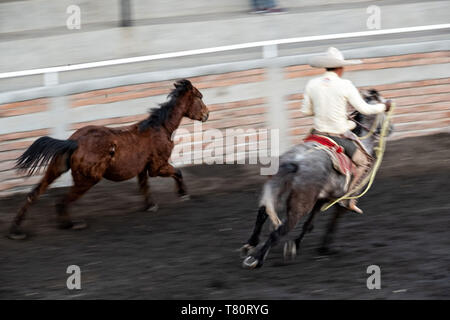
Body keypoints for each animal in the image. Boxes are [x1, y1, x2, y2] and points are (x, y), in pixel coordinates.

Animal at [8, 79, 209, 239]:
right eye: (200, 96)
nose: (207, 114)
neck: (161, 128)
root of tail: (74, 142)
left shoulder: (143, 169)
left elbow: (145, 187)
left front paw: (151, 205)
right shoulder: (157, 167)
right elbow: (178, 172)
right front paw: (183, 194)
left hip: (56, 169)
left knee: (33, 195)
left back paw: (16, 231)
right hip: (87, 180)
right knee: (61, 201)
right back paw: (71, 224)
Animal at [241, 89, 392, 268]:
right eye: (385, 110)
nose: (391, 129)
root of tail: (295, 162)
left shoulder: (322, 198)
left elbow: (309, 223)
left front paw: (295, 244)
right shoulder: (341, 200)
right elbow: (332, 221)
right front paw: (323, 247)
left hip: (277, 191)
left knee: (263, 213)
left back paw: (250, 245)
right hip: (300, 206)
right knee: (279, 230)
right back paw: (257, 259)